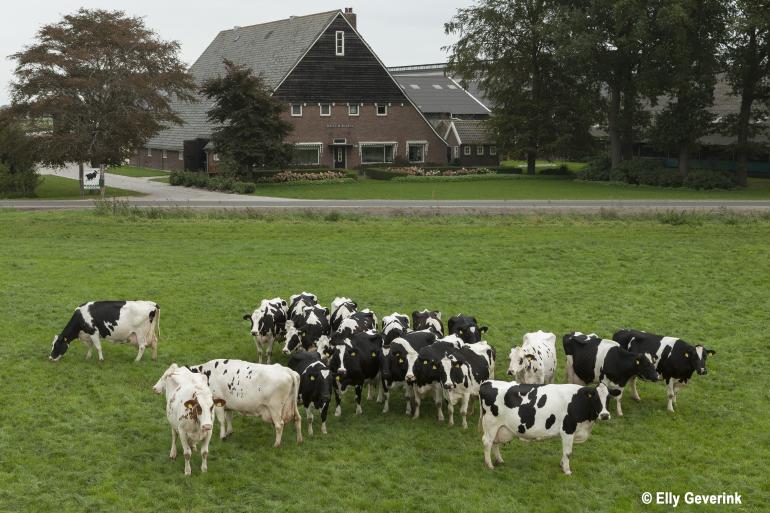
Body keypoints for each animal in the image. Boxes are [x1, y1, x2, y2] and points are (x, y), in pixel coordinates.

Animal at [480, 380, 616, 472]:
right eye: (595, 397)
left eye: (608, 397)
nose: (605, 415)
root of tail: (487, 382)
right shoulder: (568, 429)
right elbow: (568, 452)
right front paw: (567, 470)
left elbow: (565, 452)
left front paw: (562, 464)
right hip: (491, 424)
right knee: (487, 442)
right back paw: (489, 465)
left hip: (500, 427)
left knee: (494, 442)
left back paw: (499, 460)